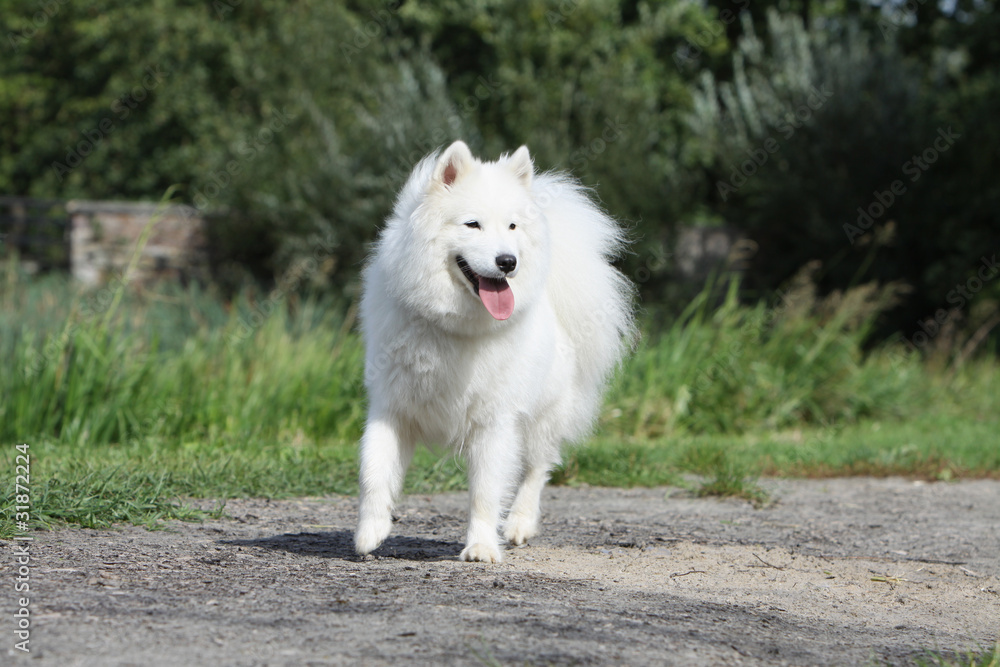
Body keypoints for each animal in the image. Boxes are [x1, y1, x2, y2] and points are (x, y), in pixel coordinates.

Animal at [354, 141, 632, 564]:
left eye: (512, 227)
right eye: (473, 225)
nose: (507, 261)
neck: (454, 326)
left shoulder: (495, 421)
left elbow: (485, 492)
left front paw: (482, 546)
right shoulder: (391, 407)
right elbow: (375, 471)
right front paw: (370, 532)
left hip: (541, 419)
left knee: (536, 471)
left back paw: (518, 525)